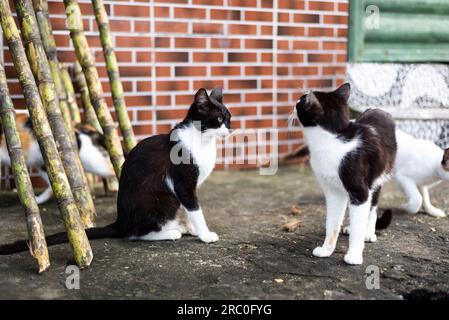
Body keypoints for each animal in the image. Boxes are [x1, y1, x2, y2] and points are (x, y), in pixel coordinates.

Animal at [0, 87, 231, 255]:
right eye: (218, 120)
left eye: (228, 118)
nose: (230, 129)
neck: (202, 141)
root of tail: (121, 221)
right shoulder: (183, 184)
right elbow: (194, 209)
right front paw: (205, 234)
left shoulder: (189, 188)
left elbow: (189, 210)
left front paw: (192, 228)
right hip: (164, 199)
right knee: (134, 234)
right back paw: (171, 232)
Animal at [296, 83, 398, 264]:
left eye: (301, 101)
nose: (296, 100)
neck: (330, 141)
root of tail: (378, 109)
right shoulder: (332, 191)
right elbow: (332, 222)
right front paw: (326, 249)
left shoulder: (359, 189)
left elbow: (360, 216)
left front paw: (354, 255)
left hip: (377, 176)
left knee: (372, 205)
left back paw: (368, 232)